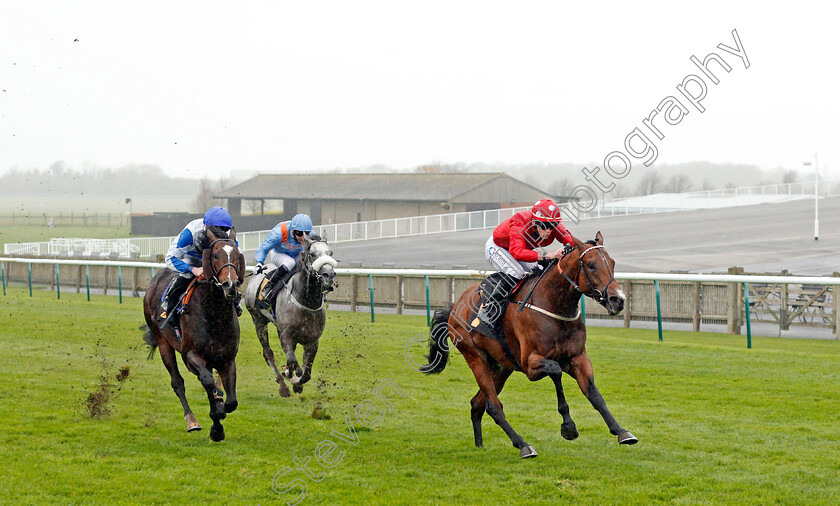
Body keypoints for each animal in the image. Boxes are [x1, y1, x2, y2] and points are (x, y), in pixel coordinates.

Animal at [142, 231, 244, 440]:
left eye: (237, 255)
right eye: (215, 255)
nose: (230, 285)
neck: (214, 315)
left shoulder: (227, 359)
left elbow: (231, 401)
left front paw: (218, 424)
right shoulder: (190, 355)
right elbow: (209, 384)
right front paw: (217, 416)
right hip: (163, 342)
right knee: (177, 382)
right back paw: (192, 420)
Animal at [243, 235, 334, 398]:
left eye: (330, 253)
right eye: (312, 254)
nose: (328, 275)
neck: (307, 302)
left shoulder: (312, 340)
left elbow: (306, 373)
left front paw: (297, 383)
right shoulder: (285, 335)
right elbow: (292, 362)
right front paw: (288, 374)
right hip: (258, 320)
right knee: (268, 353)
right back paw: (283, 386)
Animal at [420, 233, 636, 458]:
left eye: (612, 262)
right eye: (591, 265)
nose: (618, 299)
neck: (554, 304)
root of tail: (455, 309)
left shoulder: (578, 357)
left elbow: (594, 393)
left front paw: (621, 431)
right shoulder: (530, 365)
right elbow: (556, 371)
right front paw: (568, 427)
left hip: (500, 368)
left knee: (477, 404)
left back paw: (479, 445)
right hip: (475, 358)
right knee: (493, 406)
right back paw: (523, 445)